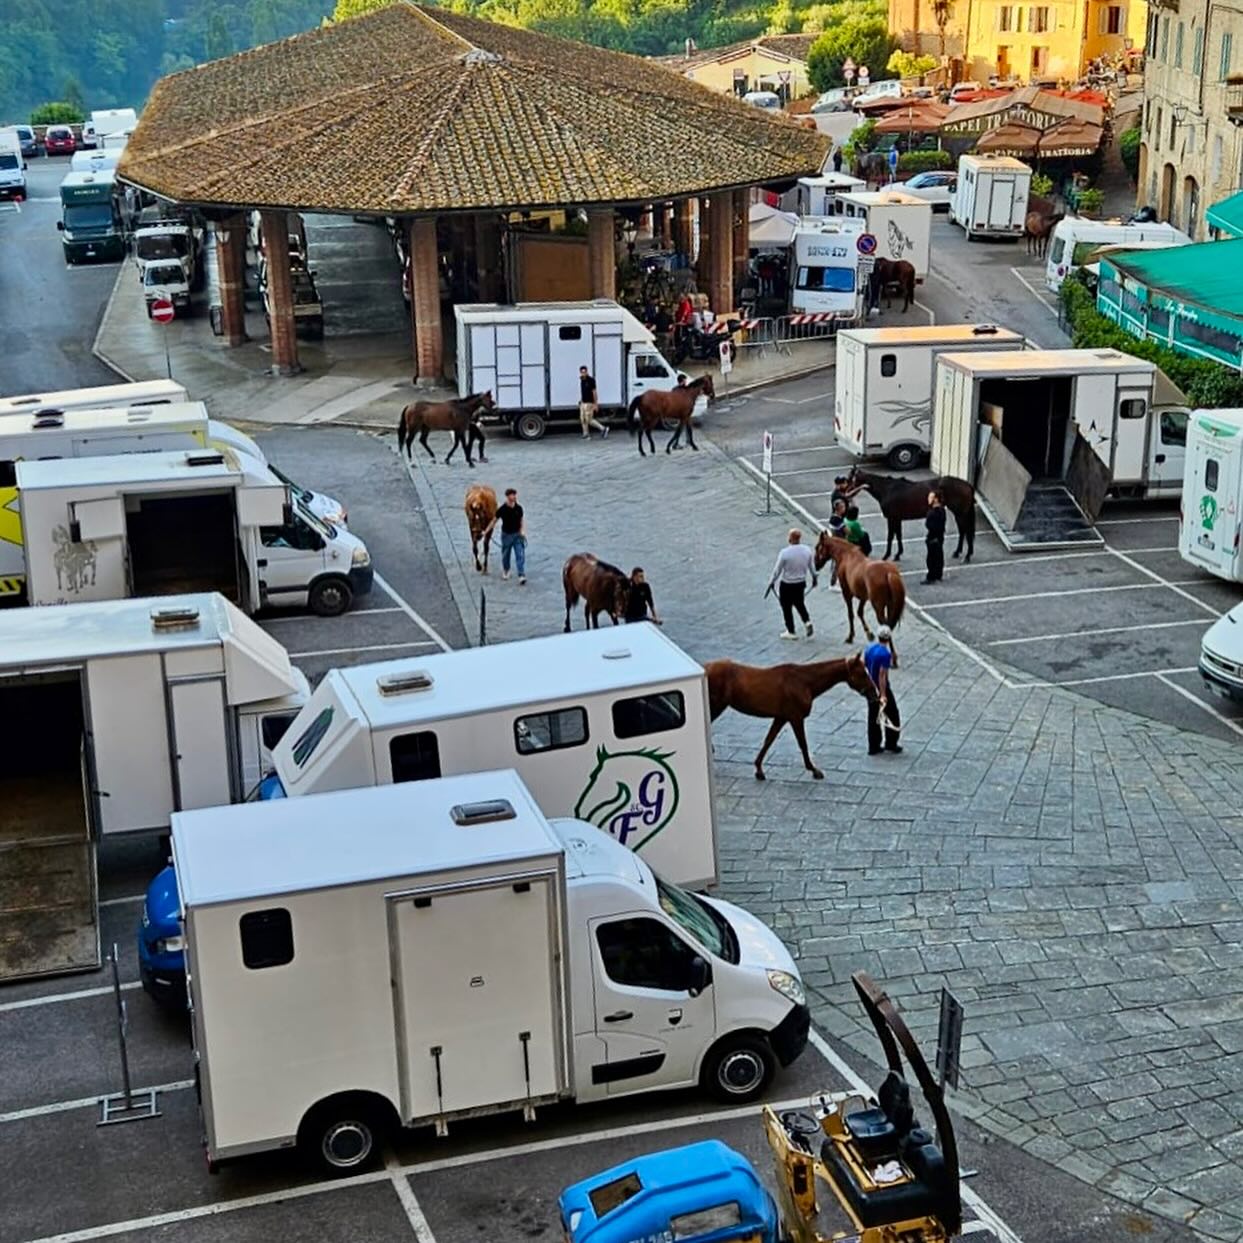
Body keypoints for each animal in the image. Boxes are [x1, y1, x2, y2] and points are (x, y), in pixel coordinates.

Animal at [706, 656, 880, 780]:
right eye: (862, 673)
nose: (875, 693)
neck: (804, 682)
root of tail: (706, 668)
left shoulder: (781, 717)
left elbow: (769, 740)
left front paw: (759, 769)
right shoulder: (795, 718)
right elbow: (802, 744)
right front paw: (814, 770)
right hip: (716, 706)